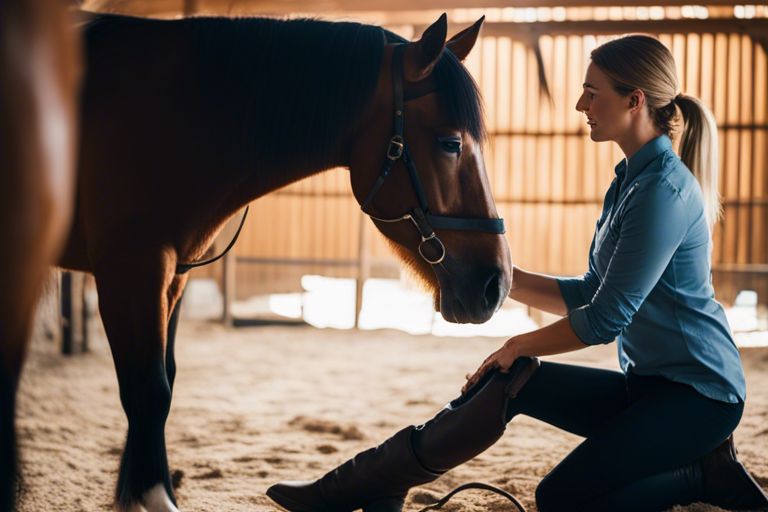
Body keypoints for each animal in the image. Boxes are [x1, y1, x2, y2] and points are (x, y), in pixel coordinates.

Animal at [57, 12, 510, 512]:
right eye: (450, 144)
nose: (497, 284)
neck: (171, 116)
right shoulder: (132, 271)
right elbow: (147, 390)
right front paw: (152, 496)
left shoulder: (172, 278)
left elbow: (162, 382)